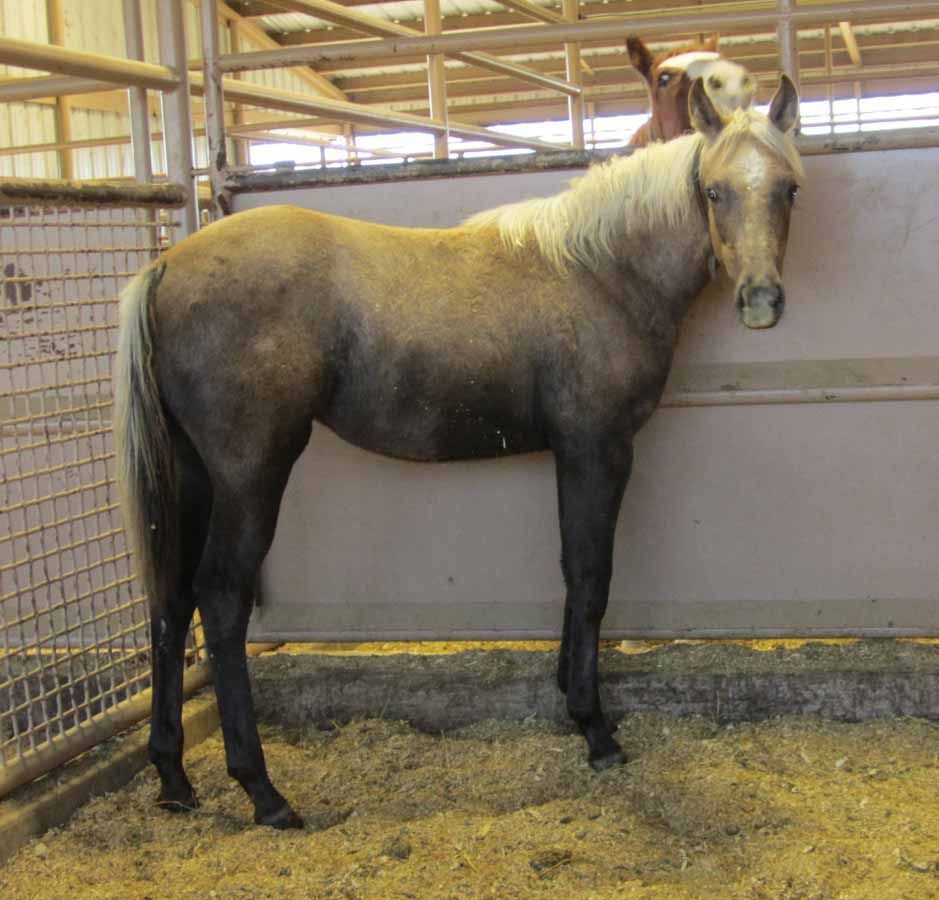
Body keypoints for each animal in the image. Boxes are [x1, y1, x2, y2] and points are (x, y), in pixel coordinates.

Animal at [115, 75, 802, 830]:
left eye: (788, 188)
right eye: (713, 191)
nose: (761, 301)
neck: (599, 271)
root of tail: (166, 265)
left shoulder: (572, 455)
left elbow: (571, 575)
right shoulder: (597, 447)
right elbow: (592, 578)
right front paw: (594, 729)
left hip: (193, 475)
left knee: (171, 597)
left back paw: (174, 778)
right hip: (251, 472)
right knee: (220, 597)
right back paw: (263, 791)